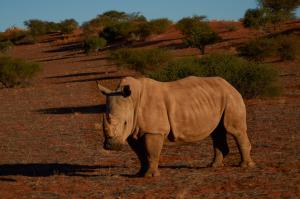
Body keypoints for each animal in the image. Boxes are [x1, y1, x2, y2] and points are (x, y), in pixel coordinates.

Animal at [98, 76, 255, 177]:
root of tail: (230, 84)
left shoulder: (154, 130)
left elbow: (151, 152)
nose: (110, 146)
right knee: (217, 131)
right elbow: (141, 153)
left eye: (125, 122)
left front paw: (150, 176)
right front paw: (140, 173)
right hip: (219, 98)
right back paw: (214, 165)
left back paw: (245, 166)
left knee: (234, 130)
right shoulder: (134, 131)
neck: (132, 100)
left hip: (231, 97)